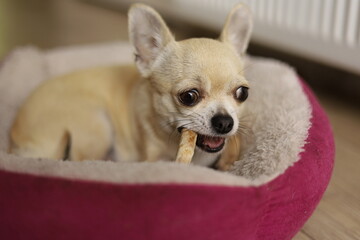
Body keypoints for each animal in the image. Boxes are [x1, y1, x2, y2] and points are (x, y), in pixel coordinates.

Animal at [10, 2, 253, 170]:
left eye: (242, 93)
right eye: (189, 96)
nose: (225, 122)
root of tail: (15, 139)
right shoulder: (153, 157)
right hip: (97, 125)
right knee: (80, 161)